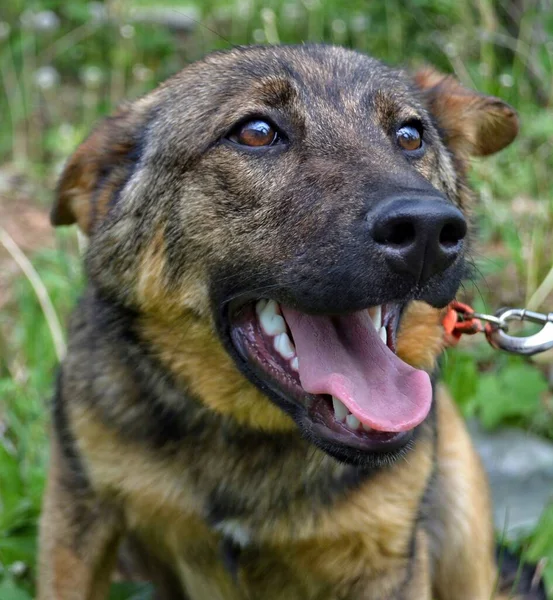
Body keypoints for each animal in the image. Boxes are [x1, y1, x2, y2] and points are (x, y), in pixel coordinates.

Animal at [37, 45, 536, 600]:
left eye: (410, 136)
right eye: (256, 132)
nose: (429, 229)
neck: (254, 432)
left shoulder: (388, 557)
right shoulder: (80, 510)